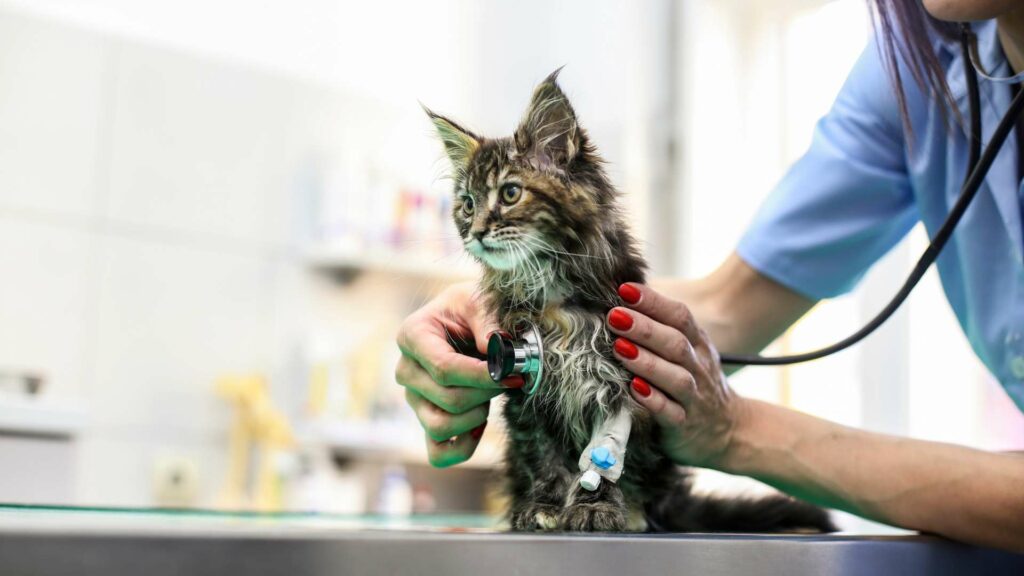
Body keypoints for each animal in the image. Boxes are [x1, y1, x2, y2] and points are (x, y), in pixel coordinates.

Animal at [423, 69, 831, 532]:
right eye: (467, 204)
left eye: (510, 193)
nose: (474, 231)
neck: (551, 292)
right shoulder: (527, 395)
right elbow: (543, 458)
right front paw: (543, 506)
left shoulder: (621, 385)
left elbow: (601, 462)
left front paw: (594, 507)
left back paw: (636, 513)